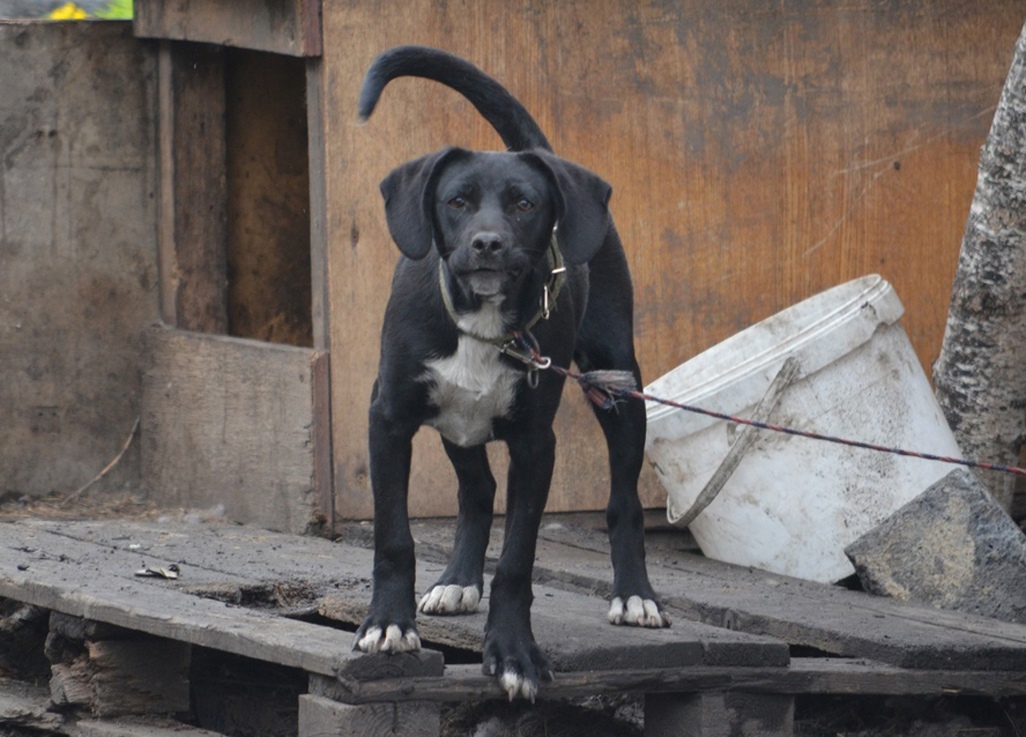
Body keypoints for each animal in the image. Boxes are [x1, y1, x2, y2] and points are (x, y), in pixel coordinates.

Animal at [354, 47, 673, 706]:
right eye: (456, 201)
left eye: (525, 204)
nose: (487, 244)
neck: (480, 322)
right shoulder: (388, 419)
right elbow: (394, 536)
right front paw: (389, 624)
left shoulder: (535, 444)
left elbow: (518, 560)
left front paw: (513, 653)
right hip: (458, 422)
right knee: (476, 490)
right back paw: (456, 581)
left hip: (617, 382)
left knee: (624, 501)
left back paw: (635, 595)